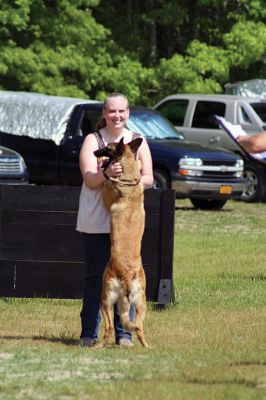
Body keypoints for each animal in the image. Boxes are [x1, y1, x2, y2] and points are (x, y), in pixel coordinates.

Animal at [93, 138, 148, 346]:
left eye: (107, 147)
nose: (94, 152)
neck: (129, 183)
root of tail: (126, 274)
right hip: (141, 304)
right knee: (138, 327)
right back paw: (147, 347)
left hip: (105, 299)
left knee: (108, 328)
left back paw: (98, 346)